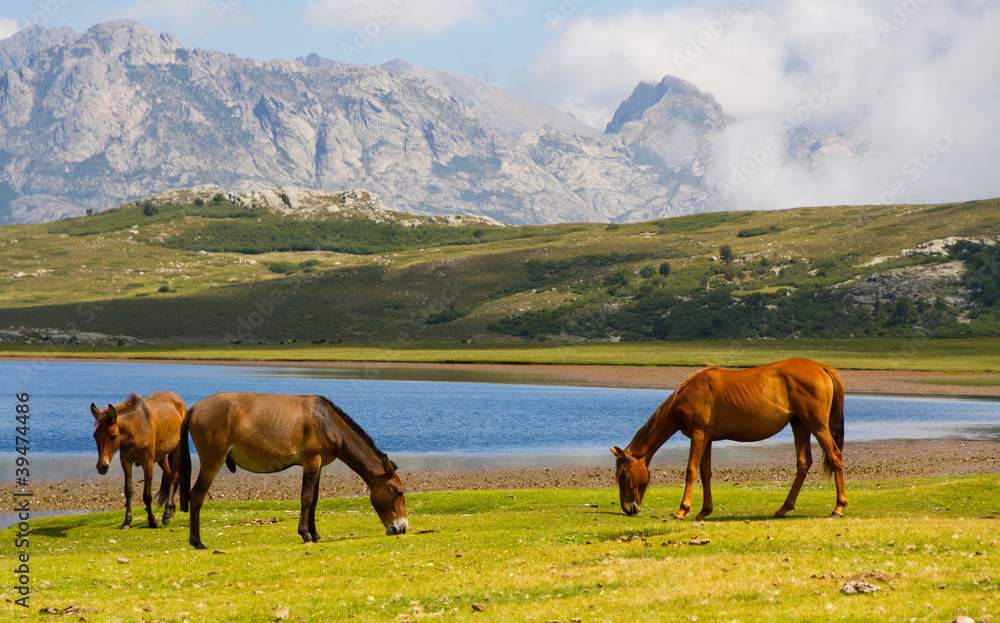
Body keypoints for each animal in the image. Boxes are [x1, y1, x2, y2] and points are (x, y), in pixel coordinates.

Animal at [91, 391, 186, 529]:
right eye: (95, 436)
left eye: (114, 436)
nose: (102, 466)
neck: (135, 430)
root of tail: (178, 399)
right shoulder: (126, 461)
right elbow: (128, 490)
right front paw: (127, 521)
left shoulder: (147, 462)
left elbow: (147, 495)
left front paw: (152, 521)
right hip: (161, 456)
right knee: (169, 477)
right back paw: (171, 511)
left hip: (177, 449)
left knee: (173, 477)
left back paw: (167, 514)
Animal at [178, 392, 408, 550]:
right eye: (399, 492)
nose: (403, 528)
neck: (328, 422)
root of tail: (194, 409)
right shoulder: (311, 461)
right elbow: (306, 498)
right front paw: (305, 534)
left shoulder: (319, 464)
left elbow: (314, 499)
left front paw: (315, 534)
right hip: (212, 462)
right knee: (196, 496)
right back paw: (197, 542)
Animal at [612, 358, 846, 520]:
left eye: (623, 475)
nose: (628, 508)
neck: (689, 395)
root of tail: (822, 367)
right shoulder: (707, 438)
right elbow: (705, 472)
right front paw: (704, 511)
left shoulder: (698, 435)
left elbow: (691, 470)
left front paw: (682, 510)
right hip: (799, 425)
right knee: (803, 463)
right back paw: (783, 509)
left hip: (817, 425)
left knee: (834, 456)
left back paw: (838, 507)